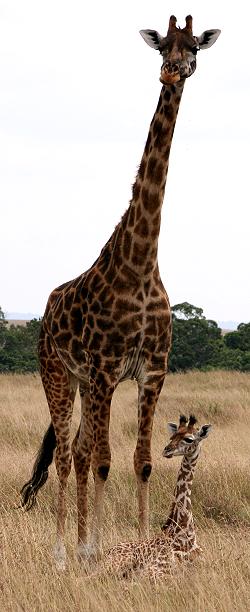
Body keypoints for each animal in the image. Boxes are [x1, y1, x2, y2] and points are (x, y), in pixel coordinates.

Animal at [99, 414, 211, 580]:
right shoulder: (155, 571)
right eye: (172, 436)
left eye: (189, 439)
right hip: (117, 564)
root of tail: (107, 551)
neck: (184, 527)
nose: (167, 450)